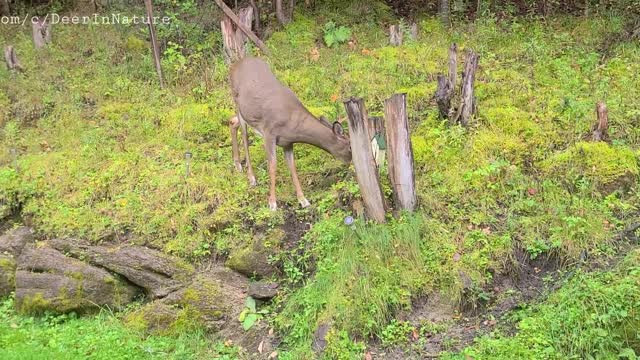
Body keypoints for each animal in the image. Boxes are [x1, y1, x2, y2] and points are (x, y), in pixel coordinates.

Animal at [229, 56, 350, 211]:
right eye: (350, 146)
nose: (351, 163)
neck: (292, 124)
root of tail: (234, 65)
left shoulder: (287, 142)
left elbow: (292, 167)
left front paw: (303, 200)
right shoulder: (269, 133)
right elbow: (272, 165)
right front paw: (272, 203)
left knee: (232, 121)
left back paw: (237, 164)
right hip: (239, 104)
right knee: (244, 137)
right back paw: (251, 177)